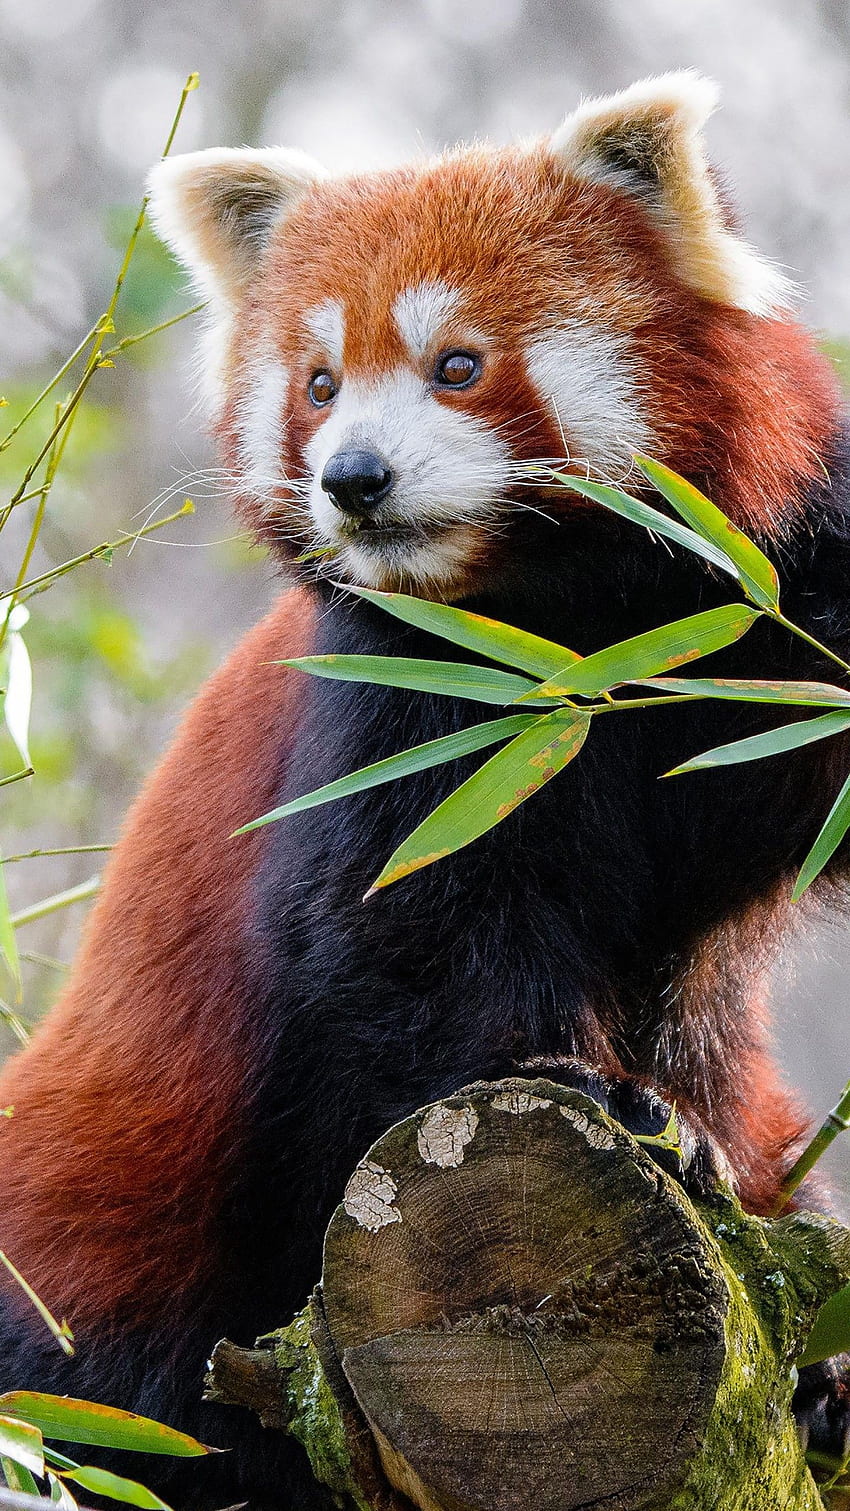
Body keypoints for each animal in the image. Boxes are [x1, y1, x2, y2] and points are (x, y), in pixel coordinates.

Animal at [1, 73, 850, 1511]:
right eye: (319, 381)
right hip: (100, 1237)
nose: (354, 476)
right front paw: (596, 1092)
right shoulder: (400, 700)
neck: (578, 628)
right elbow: (405, 938)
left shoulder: (769, 606)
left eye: (458, 363)